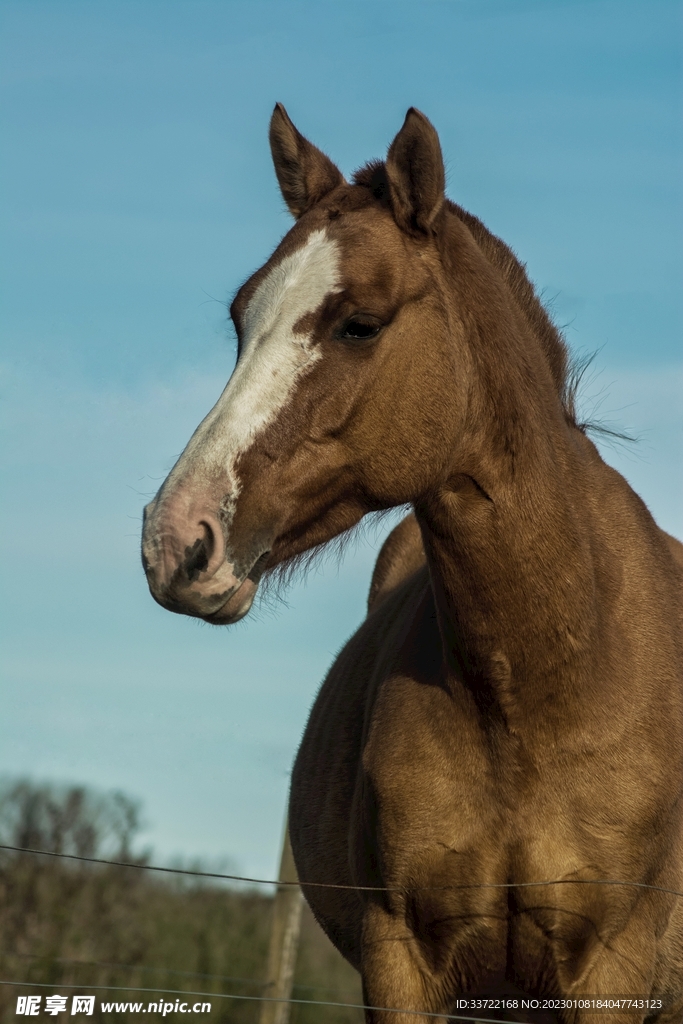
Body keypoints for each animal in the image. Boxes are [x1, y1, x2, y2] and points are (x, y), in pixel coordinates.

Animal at [141, 105, 683, 1023]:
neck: (543, 686)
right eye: (240, 320)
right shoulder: (399, 960)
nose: (175, 540)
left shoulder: (610, 970)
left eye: (359, 322)